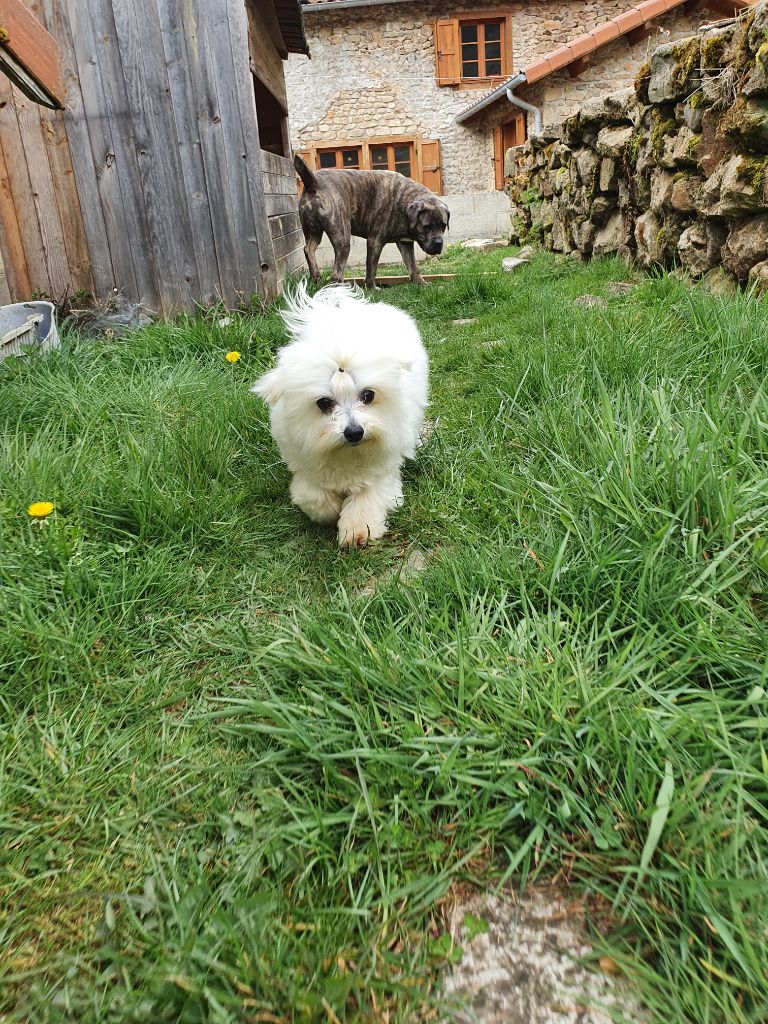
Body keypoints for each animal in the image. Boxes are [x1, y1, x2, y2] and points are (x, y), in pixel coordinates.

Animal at [256, 284, 430, 548]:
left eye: (368, 395)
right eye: (324, 403)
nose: (355, 432)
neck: (346, 453)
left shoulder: (381, 469)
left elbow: (368, 497)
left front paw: (357, 530)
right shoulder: (303, 463)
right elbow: (312, 495)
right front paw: (330, 510)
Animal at [294, 153, 450, 288]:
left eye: (443, 225)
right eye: (426, 226)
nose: (438, 243)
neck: (403, 200)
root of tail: (314, 182)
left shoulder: (405, 243)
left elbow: (412, 265)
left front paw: (420, 283)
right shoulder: (375, 241)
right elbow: (371, 268)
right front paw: (371, 287)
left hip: (313, 231)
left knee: (309, 249)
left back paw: (316, 278)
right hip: (342, 237)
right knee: (336, 272)